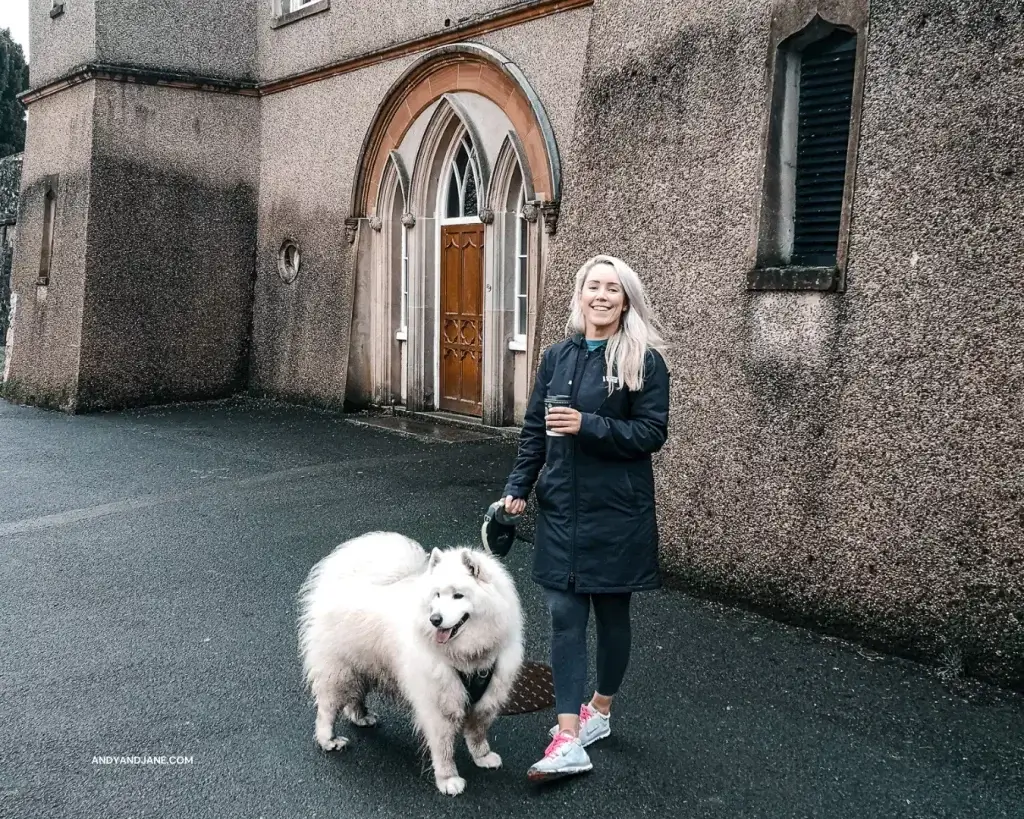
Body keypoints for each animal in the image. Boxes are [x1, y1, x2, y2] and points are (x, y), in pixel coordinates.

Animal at [294, 532, 520, 794]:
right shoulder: (438, 702)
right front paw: (448, 780)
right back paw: (328, 740)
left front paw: (482, 756)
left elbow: (478, 731)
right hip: (340, 671)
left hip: (362, 667)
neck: (468, 656)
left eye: (458, 595)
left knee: (354, 697)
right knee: (327, 709)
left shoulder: (488, 695)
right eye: (437, 595)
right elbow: (443, 747)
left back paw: (361, 716)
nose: (435, 619)